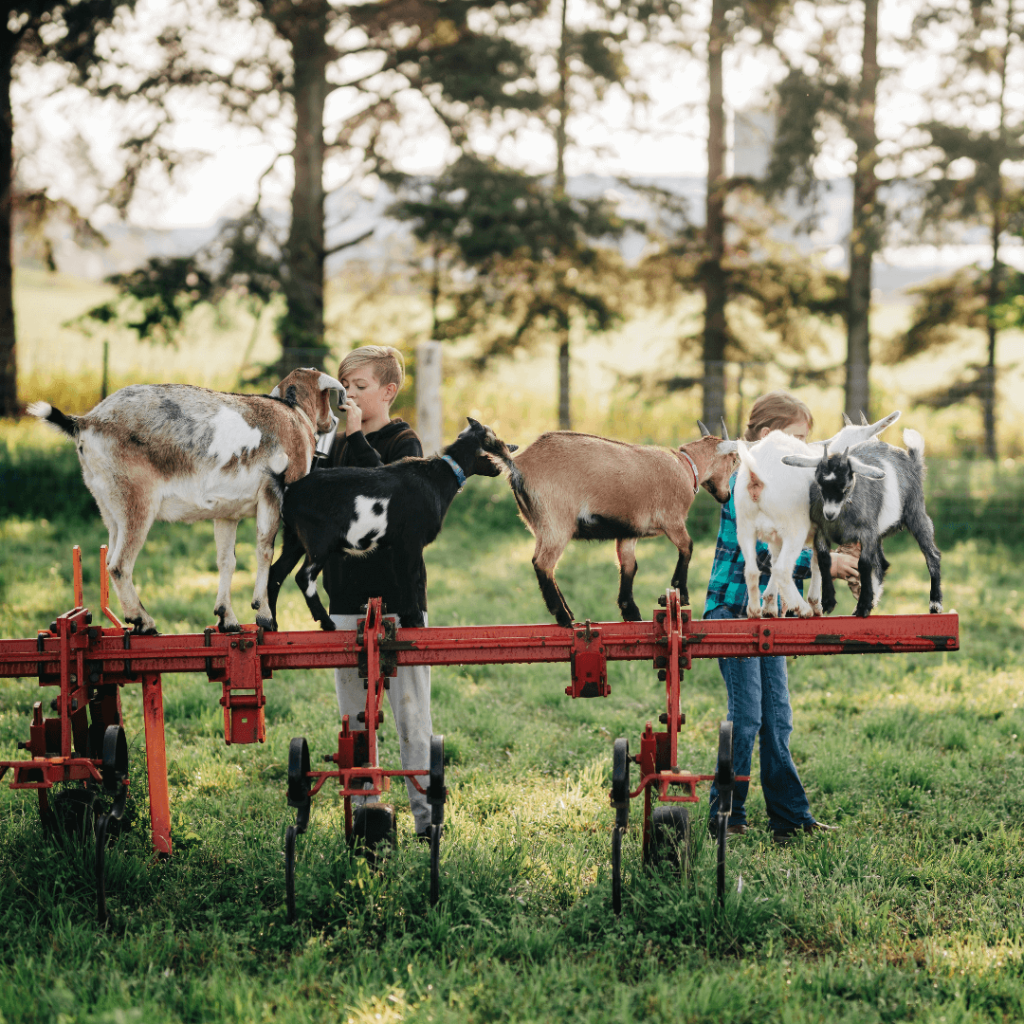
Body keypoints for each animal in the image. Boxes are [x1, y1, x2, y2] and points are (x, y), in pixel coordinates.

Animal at [28, 368, 344, 634]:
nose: (334, 421)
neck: (293, 415)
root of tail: (87, 421)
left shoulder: (227, 513)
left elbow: (226, 561)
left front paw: (227, 618)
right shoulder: (271, 495)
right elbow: (264, 550)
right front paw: (263, 613)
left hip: (109, 504)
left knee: (109, 557)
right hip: (136, 500)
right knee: (119, 564)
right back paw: (144, 621)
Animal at [266, 418, 517, 630]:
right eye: (493, 446)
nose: (505, 462)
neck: (438, 477)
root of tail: (290, 490)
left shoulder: (398, 545)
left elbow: (402, 577)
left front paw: (407, 618)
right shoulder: (412, 539)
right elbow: (411, 576)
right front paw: (415, 620)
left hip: (294, 539)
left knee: (275, 572)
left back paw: (273, 624)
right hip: (319, 540)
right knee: (303, 576)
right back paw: (327, 623)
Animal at [489, 423, 738, 627]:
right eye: (734, 460)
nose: (726, 496)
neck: (686, 467)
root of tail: (518, 465)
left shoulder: (629, 530)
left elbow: (629, 565)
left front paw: (630, 611)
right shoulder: (672, 520)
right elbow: (687, 546)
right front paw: (681, 592)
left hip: (541, 526)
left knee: (539, 561)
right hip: (557, 523)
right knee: (543, 563)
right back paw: (563, 616)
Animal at [781, 430, 942, 617]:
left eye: (845, 486)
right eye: (820, 485)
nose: (829, 514)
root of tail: (913, 462)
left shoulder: (867, 533)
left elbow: (864, 565)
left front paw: (863, 605)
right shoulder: (821, 531)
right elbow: (824, 560)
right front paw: (829, 600)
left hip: (915, 512)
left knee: (932, 555)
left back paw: (935, 604)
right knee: (881, 564)